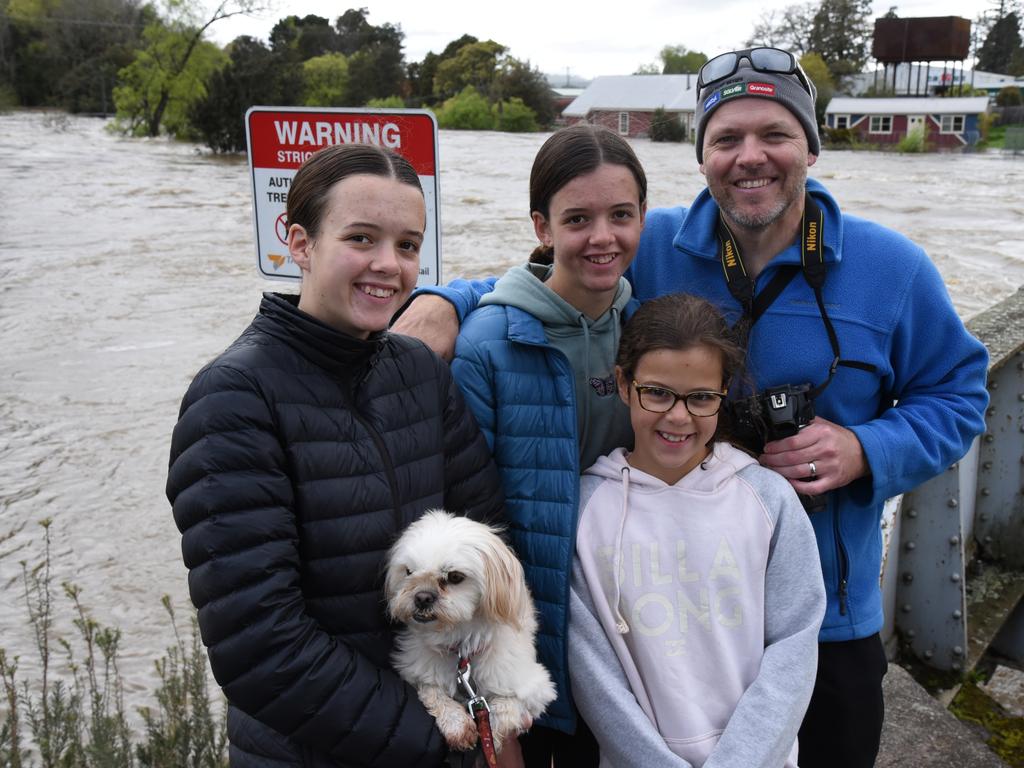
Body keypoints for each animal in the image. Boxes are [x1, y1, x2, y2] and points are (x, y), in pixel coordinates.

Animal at [385, 507, 561, 753]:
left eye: (455, 576)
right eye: (409, 572)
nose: (422, 597)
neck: (460, 646)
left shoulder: (536, 688)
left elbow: (505, 708)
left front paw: (492, 740)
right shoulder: (418, 673)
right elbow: (433, 692)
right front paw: (457, 725)